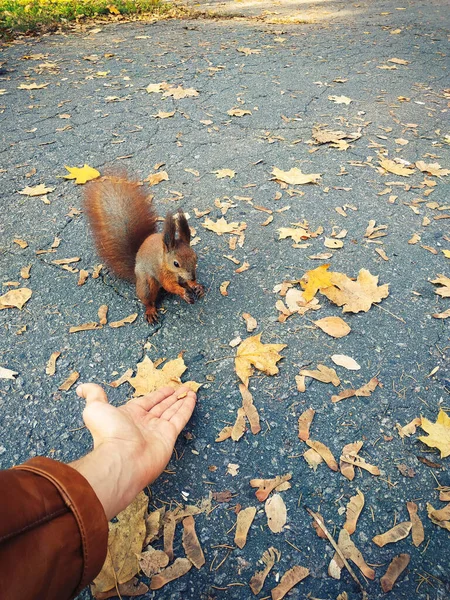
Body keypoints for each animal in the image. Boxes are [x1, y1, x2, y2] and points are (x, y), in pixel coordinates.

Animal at [84, 176, 204, 322]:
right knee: (147, 299)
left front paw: (195, 285)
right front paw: (182, 292)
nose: (193, 276)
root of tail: (135, 270)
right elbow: (169, 286)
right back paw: (151, 310)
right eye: (176, 263)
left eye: (195, 257)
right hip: (147, 283)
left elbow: (187, 283)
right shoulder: (162, 273)